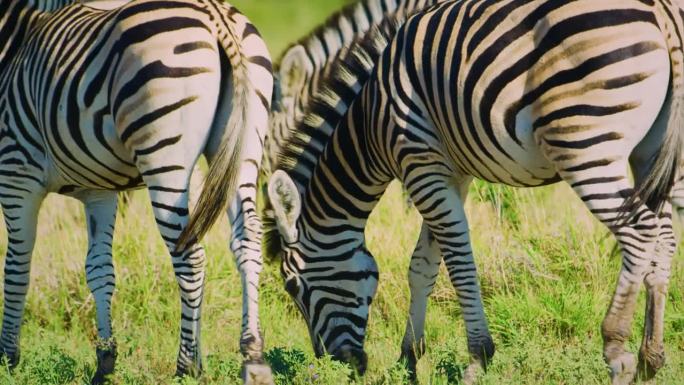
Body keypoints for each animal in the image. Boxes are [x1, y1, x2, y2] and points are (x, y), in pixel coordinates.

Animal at [0, 1, 272, 382]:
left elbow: (16, 267)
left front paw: (8, 358)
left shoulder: (16, 170)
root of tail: (214, 14)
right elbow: (99, 269)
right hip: (244, 144)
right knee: (247, 242)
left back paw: (186, 366)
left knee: (190, 257)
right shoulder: (98, 190)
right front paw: (105, 362)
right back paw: (252, 353)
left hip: (164, 153)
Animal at [266, 1, 684, 382]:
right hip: (651, 152)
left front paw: (477, 358)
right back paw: (651, 355)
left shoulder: (420, 163)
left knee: (639, 232)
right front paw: (409, 360)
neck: (370, 119)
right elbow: (422, 264)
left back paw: (616, 348)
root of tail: (660, 13)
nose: (339, 366)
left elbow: (458, 261)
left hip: (584, 143)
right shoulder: (450, 172)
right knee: (663, 235)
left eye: (293, 285)